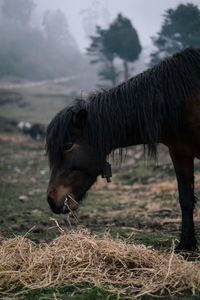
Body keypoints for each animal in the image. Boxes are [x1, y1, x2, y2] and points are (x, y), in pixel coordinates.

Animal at [46, 48, 200, 252]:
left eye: (67, 146)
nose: (51, 199)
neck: (182, 100)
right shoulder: (180, 152)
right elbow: (186, 199)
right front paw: (186, 244)